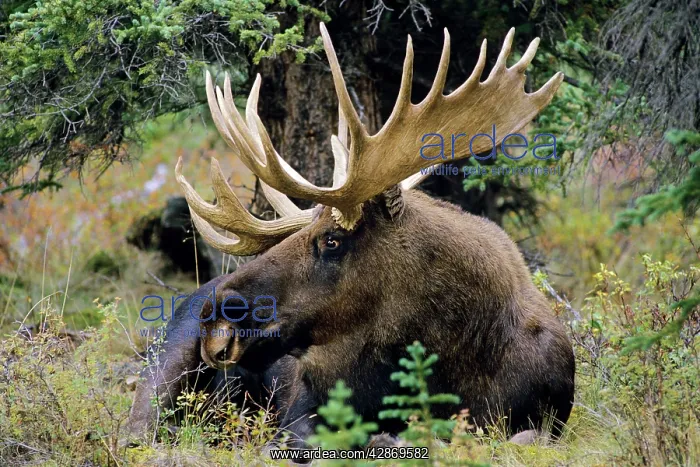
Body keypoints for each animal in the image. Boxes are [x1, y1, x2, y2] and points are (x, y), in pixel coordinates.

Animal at [127, 23, 575, 451]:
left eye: (331, 240)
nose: (217, 314)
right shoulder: (304, 407)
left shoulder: (549, 416)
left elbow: (521, 436)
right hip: (163, 367)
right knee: (139, 430)